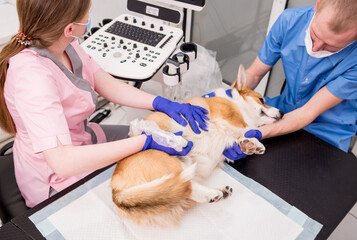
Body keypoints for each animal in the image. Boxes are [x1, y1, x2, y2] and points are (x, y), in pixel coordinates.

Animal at [110, 65, 282, 227]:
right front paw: (254, 140)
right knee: (187, 187)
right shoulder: (229, 118)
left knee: (184, 193)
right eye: (262, 100)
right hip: (169, 162)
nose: (282, 113)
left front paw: (249, 145)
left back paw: (219, 192)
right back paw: (212, 193)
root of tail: (116, 191)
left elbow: (239, 140)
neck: (236, 103)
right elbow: (244, 128)